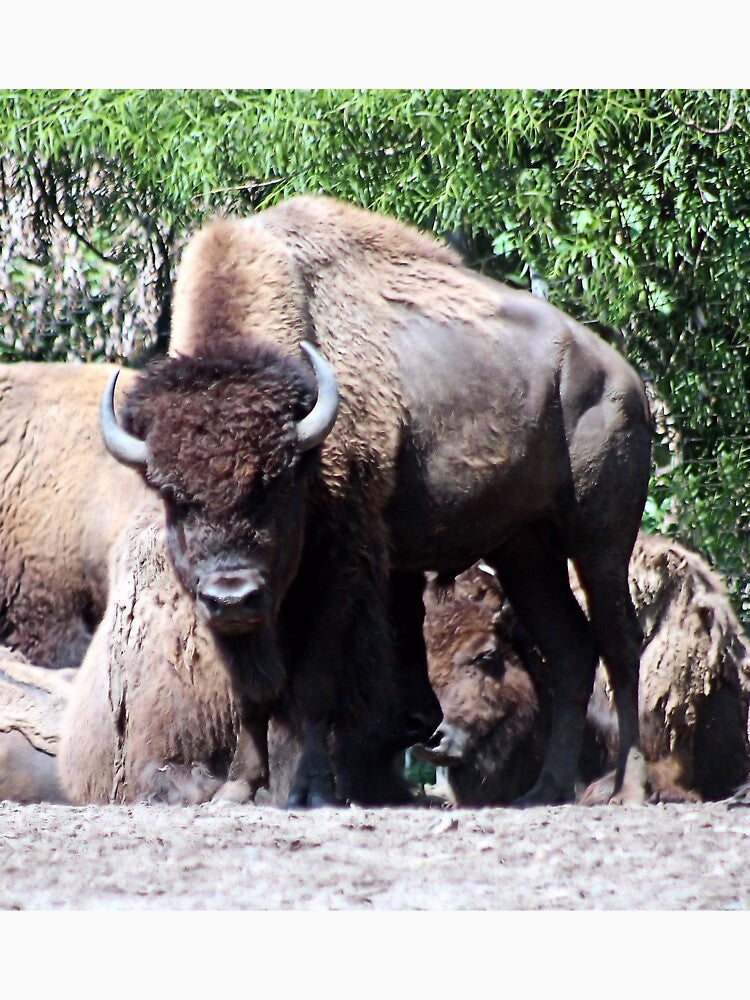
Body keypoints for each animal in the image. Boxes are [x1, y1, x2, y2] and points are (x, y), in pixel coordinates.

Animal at [100, 195, 652, 806]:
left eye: (276, 482)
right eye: (173, 495)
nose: (232, 594)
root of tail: (625, 380)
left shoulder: (338, 563)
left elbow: (314, 682)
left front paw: (313, 790)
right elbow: (252, 692)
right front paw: (239, 788)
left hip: (600, 541)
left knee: (620, 646)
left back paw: (628, 788)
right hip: (524, 549)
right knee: (572, 651)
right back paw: (543, 791)